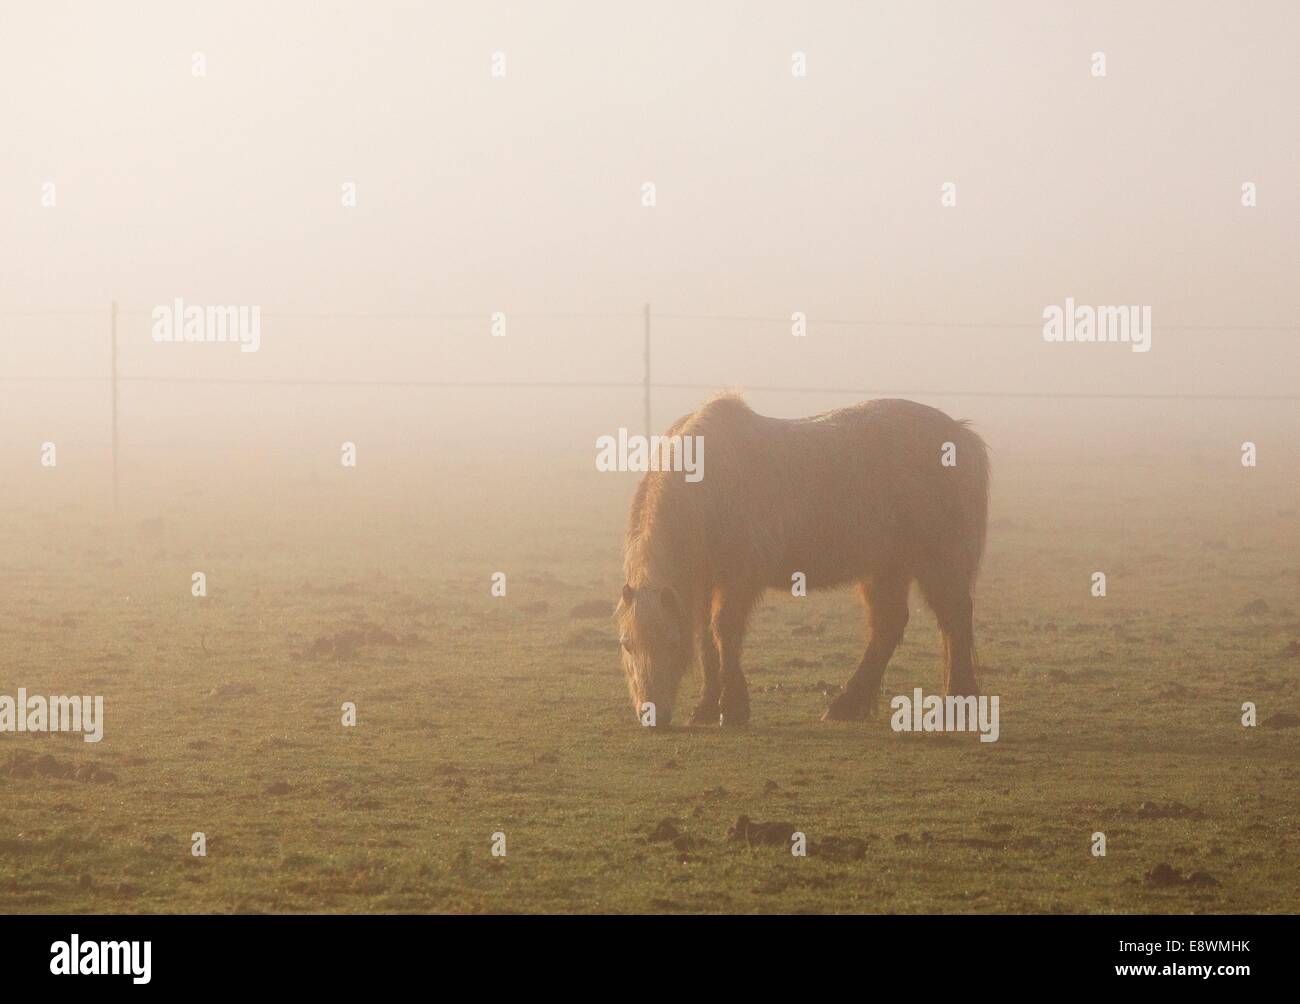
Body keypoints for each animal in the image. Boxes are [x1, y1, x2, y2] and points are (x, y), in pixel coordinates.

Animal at [613, 392, 987, 728]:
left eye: (672, 642)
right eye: (627, 644)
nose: (652, 716)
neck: (711, 485)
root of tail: (962, 434)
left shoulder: (740, 578)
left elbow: (724, 630)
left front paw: (732, 708)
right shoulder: (704, 581)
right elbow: (706, 638)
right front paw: (706, 707)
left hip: (939, 562)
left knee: (954, 619)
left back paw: (957, 703)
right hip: (886, 568)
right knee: (889, 626)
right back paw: (846, 705)